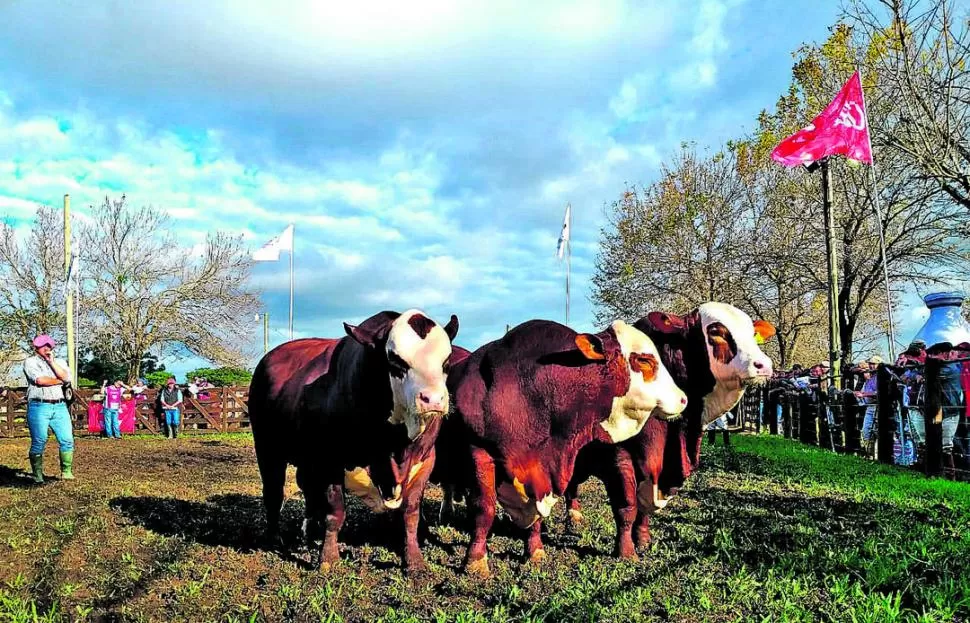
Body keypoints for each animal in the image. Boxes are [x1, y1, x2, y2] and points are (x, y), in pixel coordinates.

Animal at [250, 310, 462, 572]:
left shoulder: (425, 460)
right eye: (396, 361)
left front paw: (414, 561)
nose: (433, 399)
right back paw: (274, 538)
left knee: (308, 490)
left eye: (446, 362)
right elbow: (335, 512)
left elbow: (410, 514)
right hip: (267, 449)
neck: (393, 445)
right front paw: (328, 558)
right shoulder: (330, 461)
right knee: (273, 493)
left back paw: (309, 529)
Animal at [434, 320, 684, 576]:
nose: (682, 399)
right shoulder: (479, 451)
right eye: (644, 360)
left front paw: (534, 551)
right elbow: (484, 509)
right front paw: (475, 561)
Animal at [564, 302, 776, 556]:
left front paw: (643, 540)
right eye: (716, 332)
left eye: (752, 333)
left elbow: (644, 507)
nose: (764, 365)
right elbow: (627, 504)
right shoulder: (617, 456)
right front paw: (626, 551)